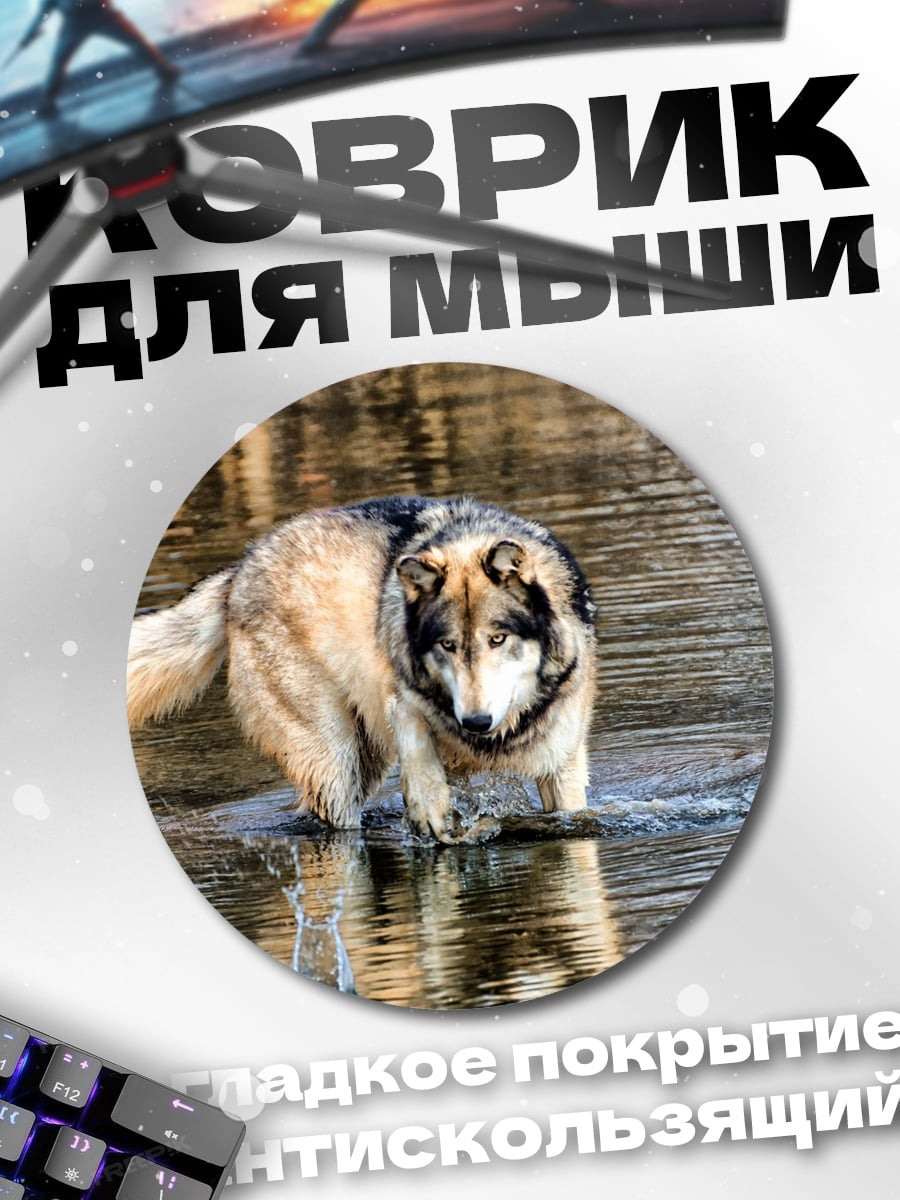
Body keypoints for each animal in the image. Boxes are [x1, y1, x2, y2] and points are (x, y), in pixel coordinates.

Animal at [127, 496, 597, 840]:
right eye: (447, 645)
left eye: (497, 639)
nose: (476, 722)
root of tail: (240, 569)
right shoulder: (399, 695)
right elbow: (414, 735)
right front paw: (429, 808)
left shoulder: (562, 765)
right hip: (336, 760)